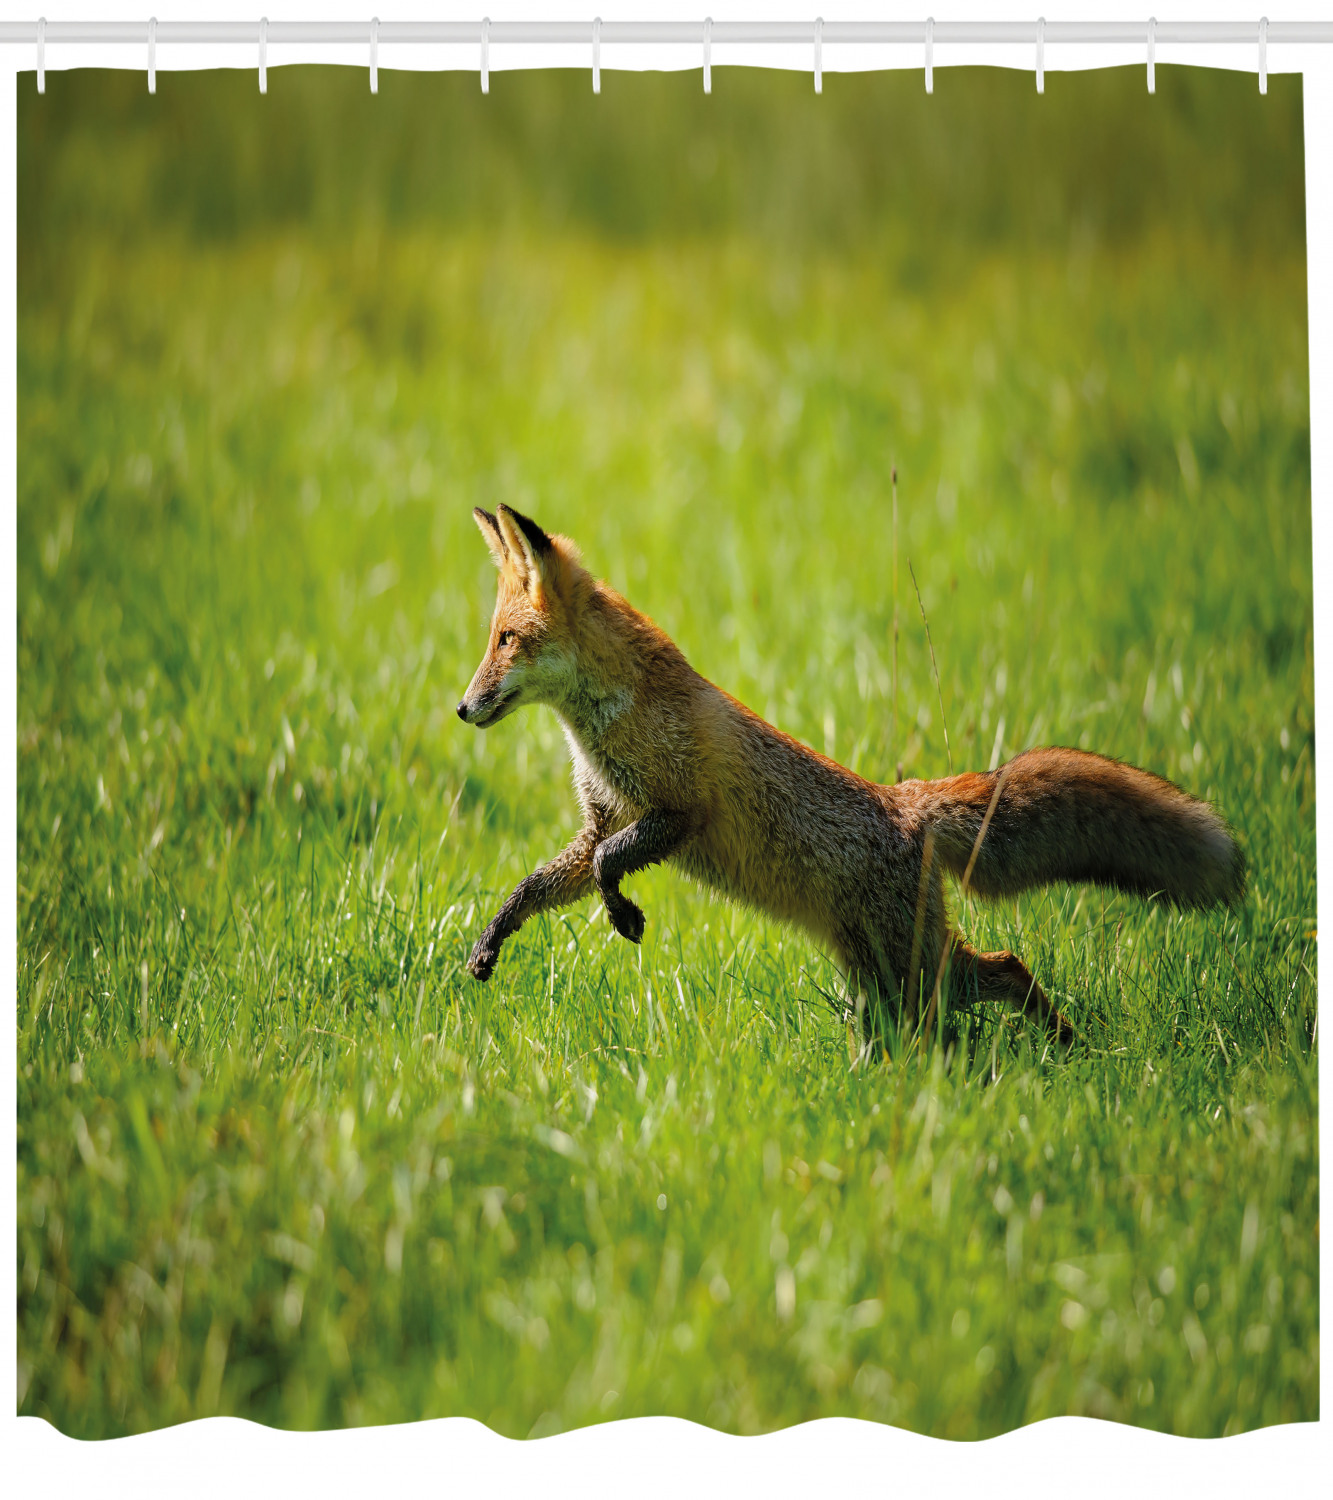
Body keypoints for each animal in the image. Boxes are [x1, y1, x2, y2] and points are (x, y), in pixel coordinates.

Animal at [457, 504, 1245, 1044]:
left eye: (506, 640)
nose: (462, 708)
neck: (601, 723)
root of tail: (908, 802)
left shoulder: (681, 810)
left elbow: (611, 868)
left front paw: (622, 915)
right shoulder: (602, 820)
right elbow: (540, 885)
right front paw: (493, 939)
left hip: (910, 972)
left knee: (1004, 970)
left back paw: (1065, 1047)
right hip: (886, 973)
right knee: (990, 978)